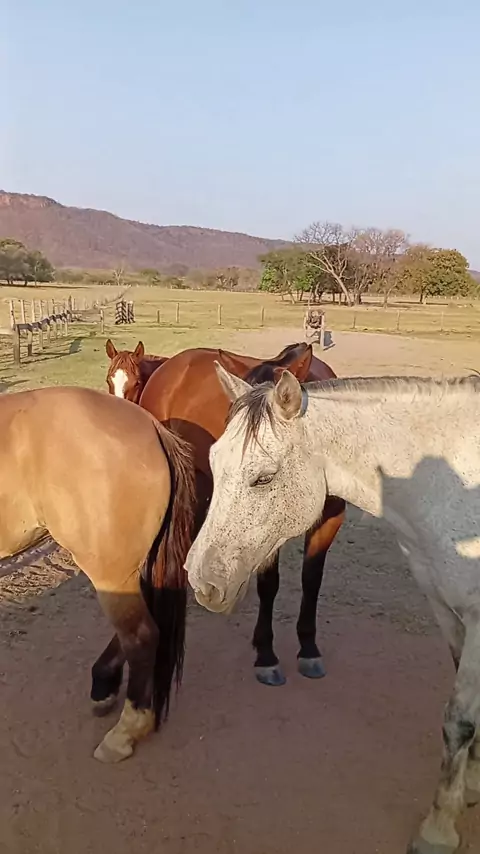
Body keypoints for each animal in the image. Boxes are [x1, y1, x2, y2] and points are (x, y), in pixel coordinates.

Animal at [186, 367, 480, 854]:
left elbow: (459, 720)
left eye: (263, 479)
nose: (201, 580)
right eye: (212, 463)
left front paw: (437, 829)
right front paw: (470, 785)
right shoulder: (446, 608)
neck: (450, 482)